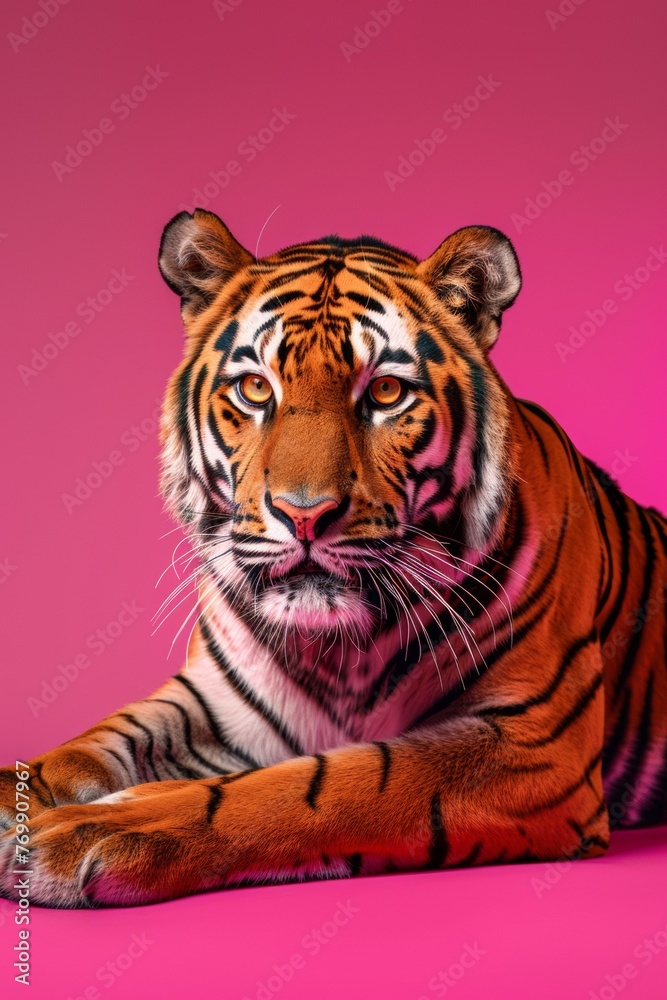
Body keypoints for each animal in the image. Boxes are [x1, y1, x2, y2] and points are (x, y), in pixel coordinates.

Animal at [1, 210, 665, 908]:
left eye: (387, 392)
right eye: (255, 388)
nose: (304, 515)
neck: (340, 649)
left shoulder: (532, 744)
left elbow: (318, 784)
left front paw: (95, 826)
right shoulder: (209, 702)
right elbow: (94, 742)